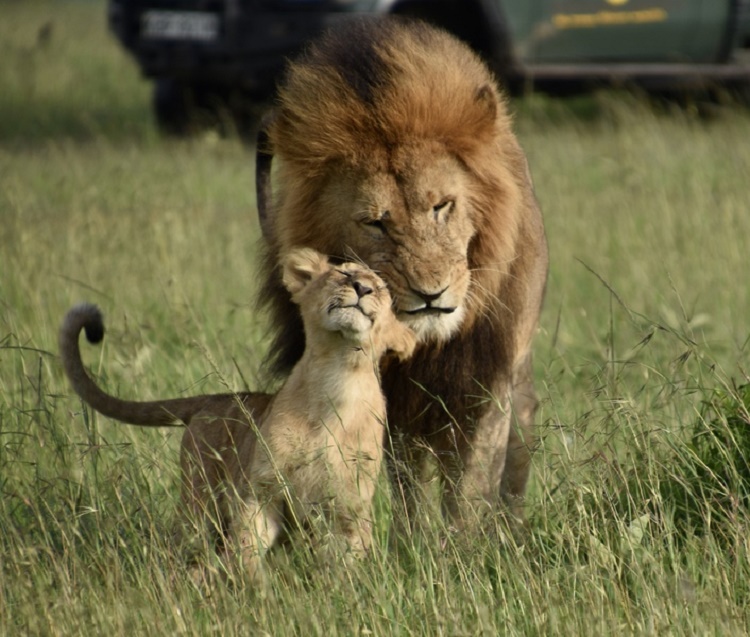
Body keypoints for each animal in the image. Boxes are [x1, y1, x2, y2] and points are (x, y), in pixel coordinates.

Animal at [256, 17, 548, 528]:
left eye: (442, 205)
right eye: (375, 222)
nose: (431, 294)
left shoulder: (484, 380)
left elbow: (470, 489)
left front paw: (464, 544)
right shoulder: (395, 395)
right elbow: (407, 485)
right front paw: (415, 540)